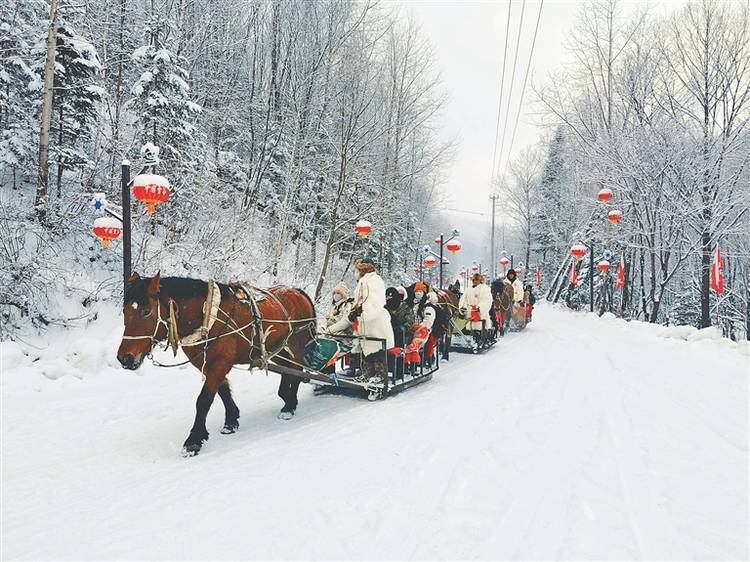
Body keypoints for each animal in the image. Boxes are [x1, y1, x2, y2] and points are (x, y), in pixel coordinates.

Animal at [116, 272, 316, 456]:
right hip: (277, 349)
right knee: (288, 370)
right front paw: (231, 420)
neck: (207, 316)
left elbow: (204, 400)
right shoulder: (207, 364)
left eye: (146, 311)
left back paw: (289, 406)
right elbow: (223, 390)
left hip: (296, 344)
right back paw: (286, 396)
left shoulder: (221, 362)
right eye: (125, 311)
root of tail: (298, 292)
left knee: (297, 369)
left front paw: (194, 440)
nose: (125, 358)